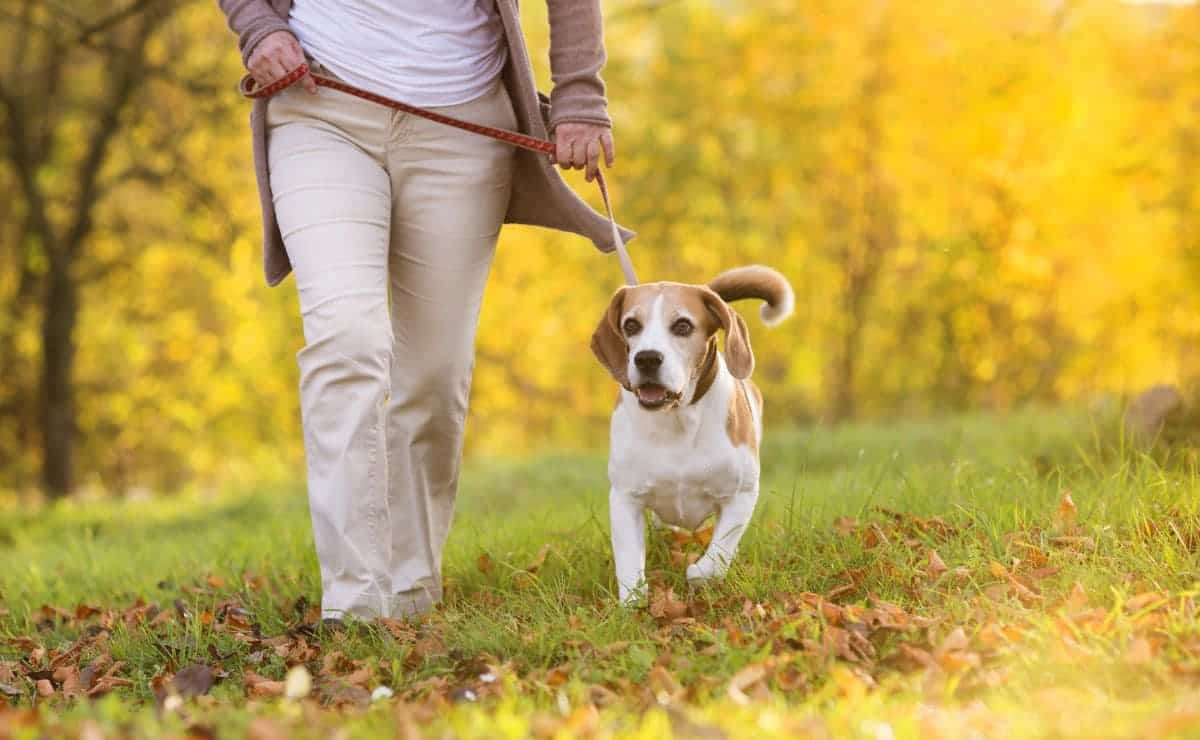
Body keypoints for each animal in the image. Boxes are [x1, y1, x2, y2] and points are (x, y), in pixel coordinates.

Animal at [592, 265, 796, 599]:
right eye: (631, 325)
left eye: (683, 326)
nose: (647, 358)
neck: (677, 419)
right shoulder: (625, 497)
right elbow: (629, 561)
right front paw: (633, 602)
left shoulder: (741, 495)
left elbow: (718, 554)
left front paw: (698, 573)